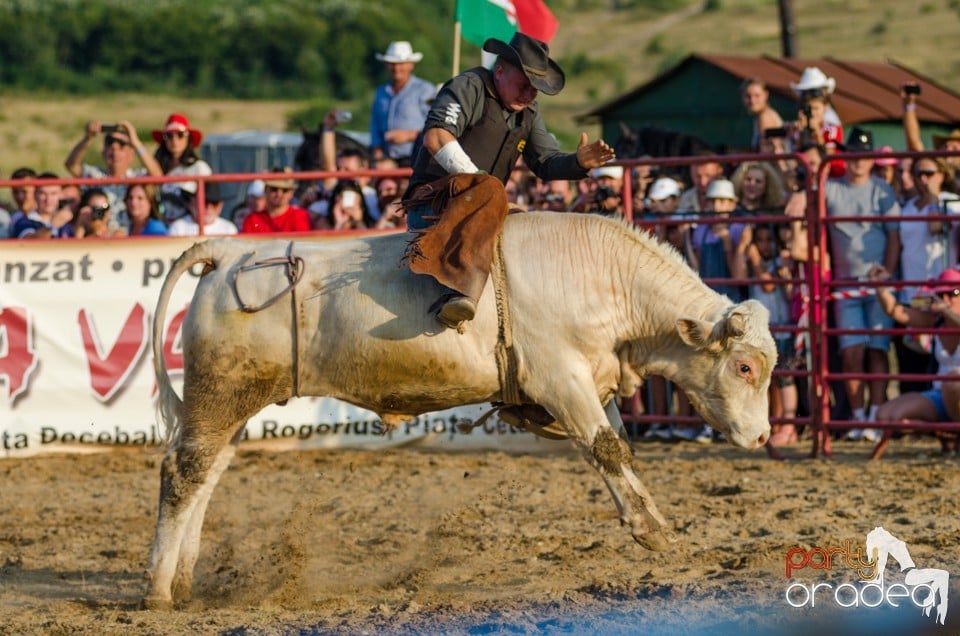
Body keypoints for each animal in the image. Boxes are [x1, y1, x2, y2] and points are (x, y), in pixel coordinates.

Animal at [142, 211, 776, 608]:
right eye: (745, 367)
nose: (764, 438)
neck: (598, 279)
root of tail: (227, 252)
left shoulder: (593, 386)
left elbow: (618, 447)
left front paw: (653, 523)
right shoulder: (562, 381)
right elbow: (606, 450)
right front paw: (652, 531)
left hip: (229, 401)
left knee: (209, 473)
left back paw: (184, 582)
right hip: (220, 392)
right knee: (184, 471)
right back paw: (157, 589)